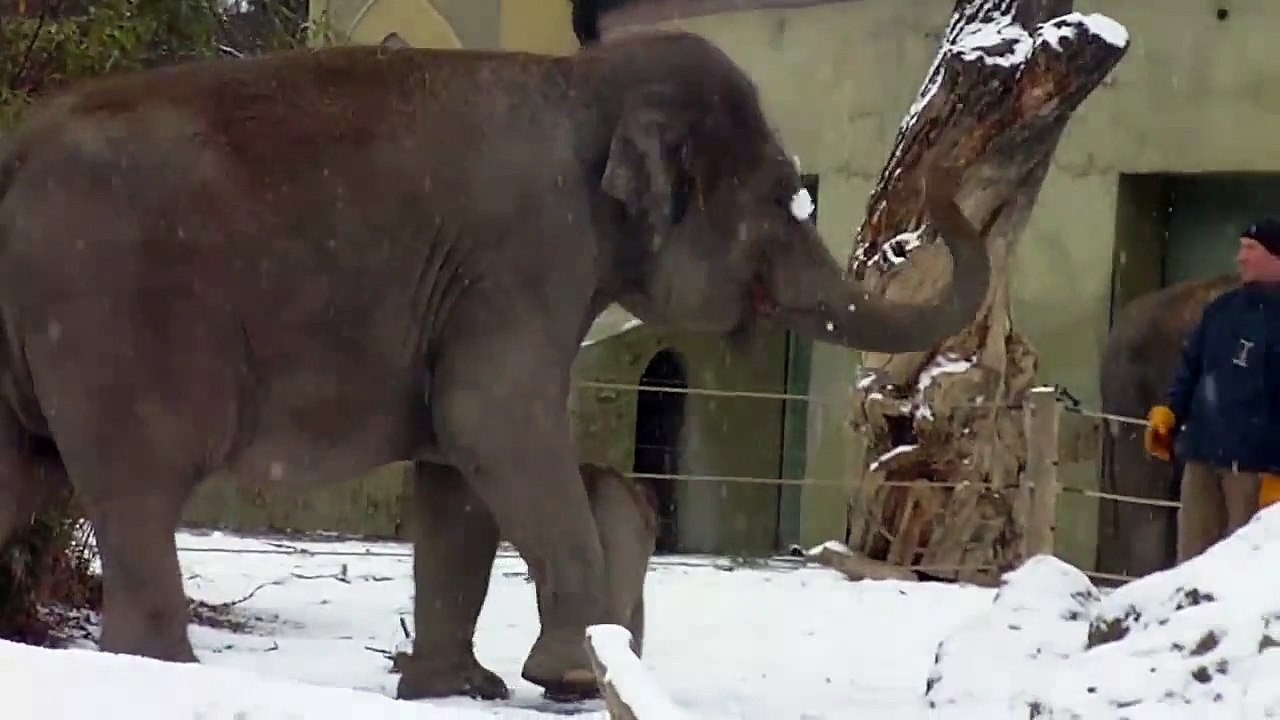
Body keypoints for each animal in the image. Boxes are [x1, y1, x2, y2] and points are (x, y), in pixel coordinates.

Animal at [0, 25, 988, 702]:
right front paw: (575, 679)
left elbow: (456, 469)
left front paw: (455, 690)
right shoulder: (530, 257)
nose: (940, 201)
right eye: (785, 200)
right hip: (109, 318)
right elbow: (493, 425)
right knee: (135, 490)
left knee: (25, 471)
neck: (585, 81)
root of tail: (16, 150)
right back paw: (169, 671)